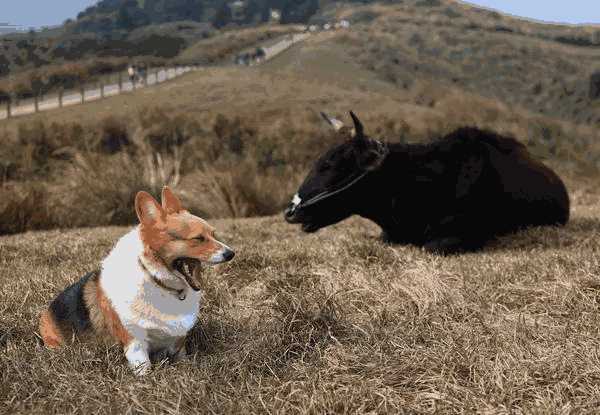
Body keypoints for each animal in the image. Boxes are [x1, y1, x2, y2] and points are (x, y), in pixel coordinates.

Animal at [38, 187, 234, 376]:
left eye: (213, 234)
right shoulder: (135, 345)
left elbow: (183, 360)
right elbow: (145, 371)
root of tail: (47, 312)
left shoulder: (177, 345)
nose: (231, 253)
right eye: (198, 238)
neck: (158, 281)